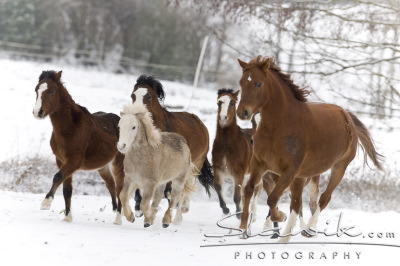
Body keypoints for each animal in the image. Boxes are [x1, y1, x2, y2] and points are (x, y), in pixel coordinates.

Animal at [32, 71, 123, 222]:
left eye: (52, 91)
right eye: (36, 90)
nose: (37, 112)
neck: (71, 128)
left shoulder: (74, 161)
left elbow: (57, 177)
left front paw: (46, 202)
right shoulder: (61, 160)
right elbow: (67, 189)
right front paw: (67, 218)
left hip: (119, 163)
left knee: (121, 188)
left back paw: (118, 220)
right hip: (103, 167)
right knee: (111, 185)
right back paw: (115, 211)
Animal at [130, 74, 214, 216]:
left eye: (149, 96)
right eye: (133, 95)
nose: (136, 114)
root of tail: (201, 124)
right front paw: (138, 208)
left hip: (196, 163)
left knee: (189, 183)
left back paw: (183, 206)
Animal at [212, 89, 262, 218]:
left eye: (232, 103)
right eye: (218, 103)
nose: (223, 118)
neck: (227, 145)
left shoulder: (238, 173)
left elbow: (236, 196)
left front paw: (238, 213)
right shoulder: (218, 169)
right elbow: (217, 187)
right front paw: (225, 209)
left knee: (257, 189)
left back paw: (253, 214)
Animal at [236, 56, 382, 243]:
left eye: (259, 83)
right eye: (241, 82)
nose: (243, 112)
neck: (279, 127)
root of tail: (346, 115)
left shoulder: (289, 171)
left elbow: (272, 198)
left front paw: (280, 216)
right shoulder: (260, 164)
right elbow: (248, 190)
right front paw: (243, 228)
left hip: (339, 168)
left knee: (323, 199)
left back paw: (308, 229)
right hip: (303, 176)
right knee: (299, 203)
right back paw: (286, 237)